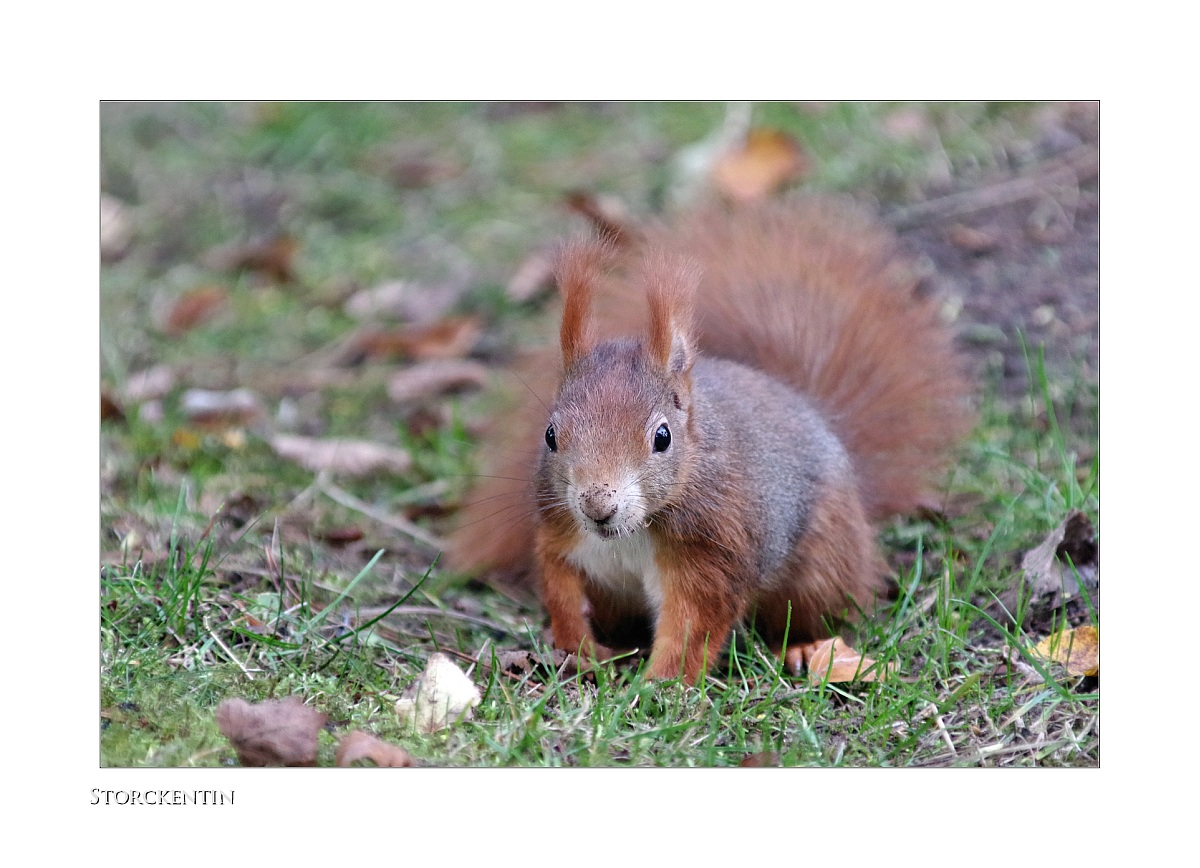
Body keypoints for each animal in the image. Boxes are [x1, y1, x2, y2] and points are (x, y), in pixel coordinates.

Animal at [451, 198, 974, 686]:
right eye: (551, 435)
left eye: (662, 437)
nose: (598, 506)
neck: (636, 530)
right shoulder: (560, 536)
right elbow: (561, 593)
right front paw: (581, 651)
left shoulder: (713, 553)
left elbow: (693, 626)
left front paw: (660, 685)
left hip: (823, 561)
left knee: (819, 610)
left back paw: (806, 647)